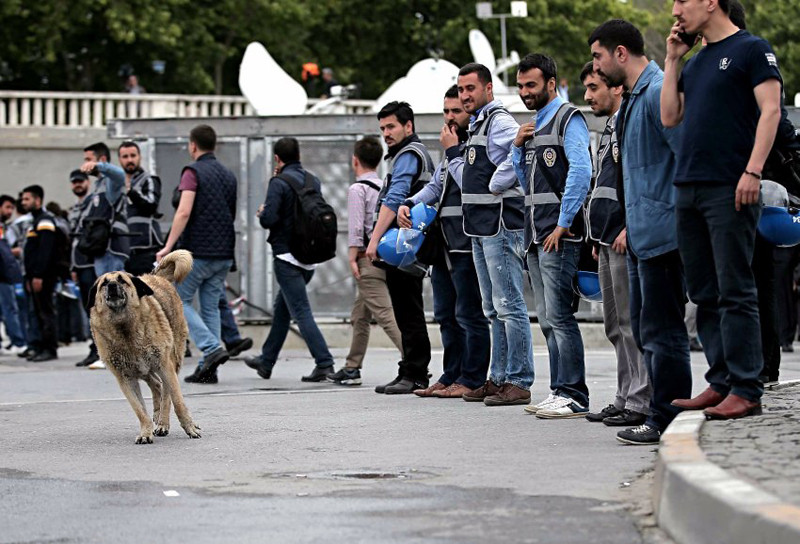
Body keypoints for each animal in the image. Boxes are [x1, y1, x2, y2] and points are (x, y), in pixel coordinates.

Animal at [88, 249, 202, 444]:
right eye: (104, 283)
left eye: (122, 281)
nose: (112, 285)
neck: (124, 329)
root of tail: (155, 276)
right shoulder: (125, 378)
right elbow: (139, 409)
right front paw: (145, 431)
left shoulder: (165, 366)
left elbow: (178, 402)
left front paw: (189, 427)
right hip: (144, 369)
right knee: (156, 384)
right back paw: (157, 416)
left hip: (171, 361)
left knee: (166, 393)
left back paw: (163, 422)